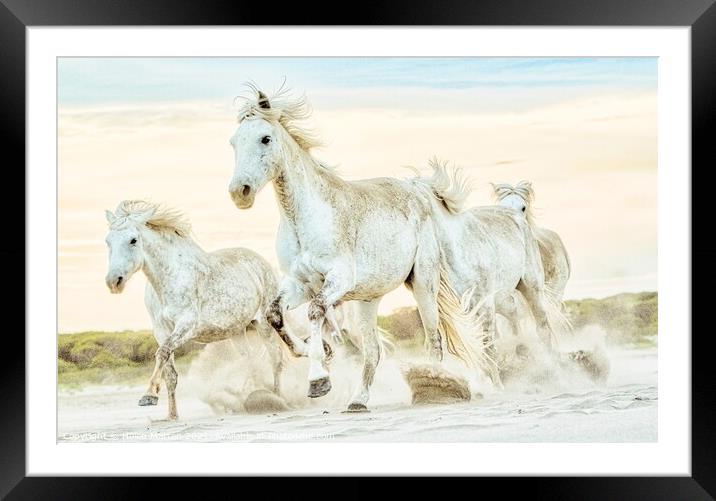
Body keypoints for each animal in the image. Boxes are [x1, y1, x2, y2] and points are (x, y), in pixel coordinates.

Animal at [103, 199, 286, 418]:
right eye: (108, 241)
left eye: (133, 240)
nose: (114, 282)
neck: (169, 278)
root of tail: (261, 262)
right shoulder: (161, 330)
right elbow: (170, 373)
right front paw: (172, 416)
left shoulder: (187, 325)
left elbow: (162, 353)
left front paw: (149, 396)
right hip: (237, 331)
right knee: (251, 361)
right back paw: (253, 396)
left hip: (264, 323)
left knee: (275, 358)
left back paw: (277, 400)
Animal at [227, 84, 484, 410]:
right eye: (234, 142)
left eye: (265, 138)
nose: (240, 193)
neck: (305, 219)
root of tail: (417, 189)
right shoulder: (300, 283)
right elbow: (275, 315)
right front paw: (319, 350)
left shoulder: (338, 280)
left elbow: (315, 312)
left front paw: (318, 380)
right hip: (367, 300)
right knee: (373, 351)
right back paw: (358, 401)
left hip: (423, 284)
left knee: (433, 340)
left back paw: (438, 386)